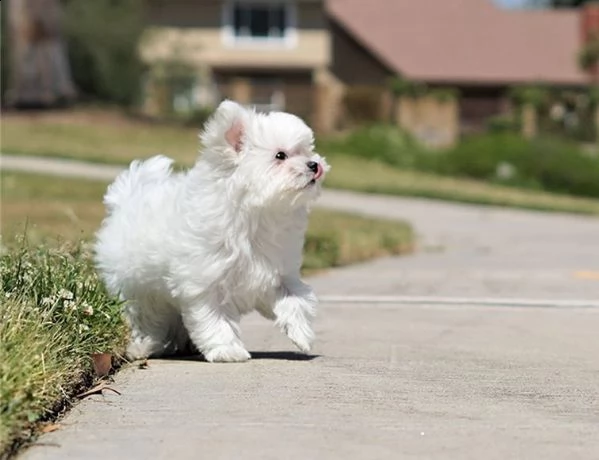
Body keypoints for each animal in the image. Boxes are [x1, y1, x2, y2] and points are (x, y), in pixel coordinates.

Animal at [95, 101, 328, 362]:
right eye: (281, 155)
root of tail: (127, 198)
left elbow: (295, 299)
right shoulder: (206, 282)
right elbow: (215, 319)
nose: (314, 165)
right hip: (136, 286)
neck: (255, 214)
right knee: (146, 316)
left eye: (307, 151)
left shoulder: (277, 274)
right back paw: (144, 346)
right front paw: (227, 349)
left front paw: (302, 334)